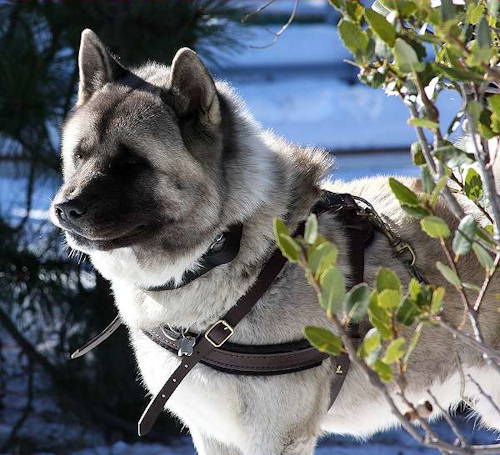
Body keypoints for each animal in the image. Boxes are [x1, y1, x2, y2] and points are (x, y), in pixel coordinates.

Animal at [51, 30, 500, 454]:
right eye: (79, 155)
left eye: (131, 163)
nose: (63, 209)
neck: (228, 248)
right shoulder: (213, 433)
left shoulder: (276, 436)